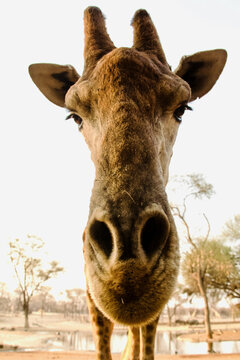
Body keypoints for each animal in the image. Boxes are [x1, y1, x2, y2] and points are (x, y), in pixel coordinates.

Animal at [28, 6, 227, 360]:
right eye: (74, 116)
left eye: (182, 108)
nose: (127, 267)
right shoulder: (91, 291)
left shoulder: (157, 302)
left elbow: (144, 345)